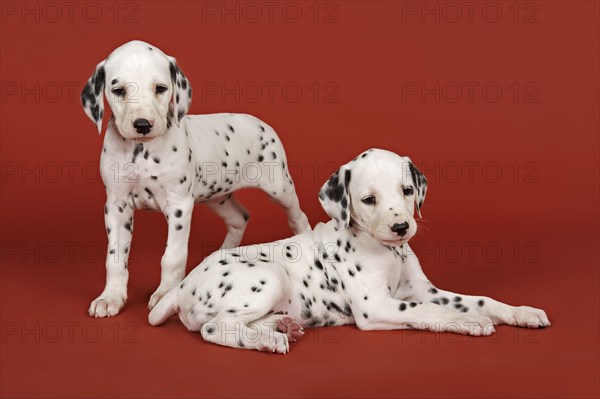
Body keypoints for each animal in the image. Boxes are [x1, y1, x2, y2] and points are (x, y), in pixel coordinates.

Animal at [82, 41, 312, 318]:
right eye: (118, 90)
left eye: (160, 88)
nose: (143, 124)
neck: (141, 151)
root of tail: (261, 123)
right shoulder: (117, 206)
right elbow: (115, 258)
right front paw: (111, 297)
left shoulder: (179, 206)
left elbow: (173, 256)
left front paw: (164, 294)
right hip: (217, 198)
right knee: (240, 218)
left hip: (279, 187)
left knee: (298, 217)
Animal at [148, 149, 552, 354]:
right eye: (369, 199)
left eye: (407, 190)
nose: (401, 228)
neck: (389, 253)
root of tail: (180, 288)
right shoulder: (378, 306)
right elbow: (428, 311)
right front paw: (467, 321)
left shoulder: (425, 290)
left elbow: (480, 299)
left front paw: (520, 312)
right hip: (271, 275)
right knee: (215, 328)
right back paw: (269, 341)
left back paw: (283, 325)